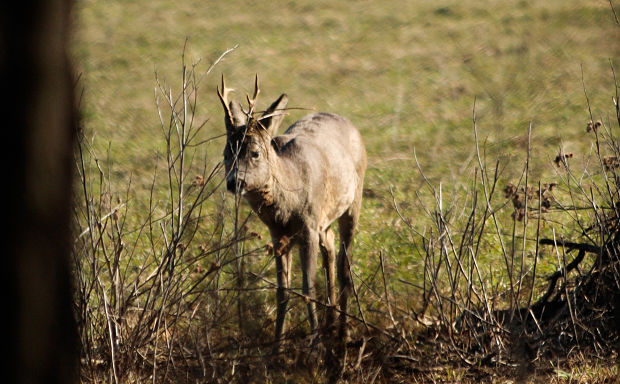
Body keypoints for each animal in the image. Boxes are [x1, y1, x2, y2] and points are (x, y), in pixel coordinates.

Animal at [218, 75, 366, 348]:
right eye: (226, 153)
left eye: (255, 153)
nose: (234, 182)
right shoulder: (278, 235)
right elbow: (282, 290)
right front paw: (278, 345)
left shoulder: (308, 227)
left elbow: (308, 288)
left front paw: (315, 344)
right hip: (324, 221)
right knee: (330, 248)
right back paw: (331, 323)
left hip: (353, 201)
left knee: (344, 264)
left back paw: (343, 333)